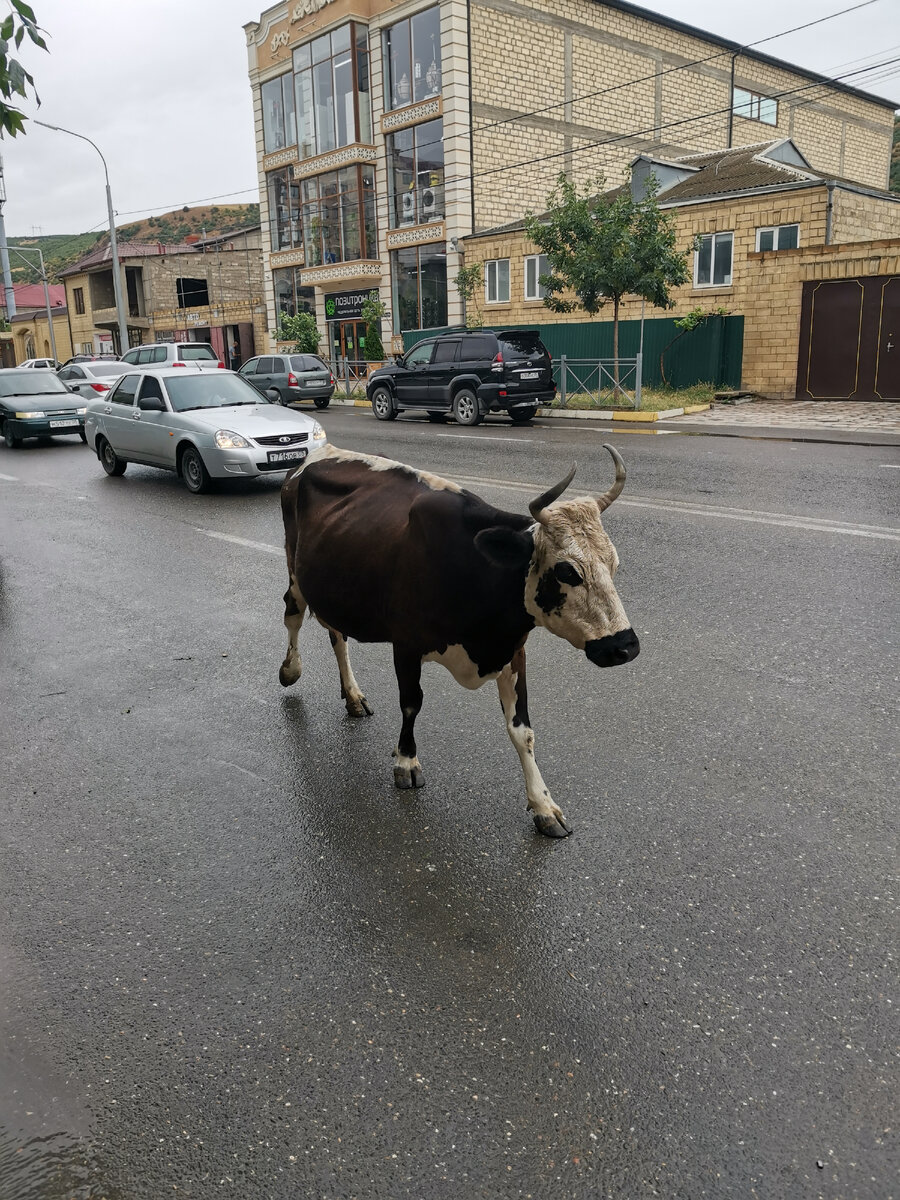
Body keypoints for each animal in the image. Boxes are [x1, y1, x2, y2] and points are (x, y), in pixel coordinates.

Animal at [282, 441, 643, 835]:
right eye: (568, 571)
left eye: (613, 565)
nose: (625, 646)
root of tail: (319, 452)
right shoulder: (405, 645)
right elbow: (411, 703)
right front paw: (406, 761)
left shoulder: (513, 652)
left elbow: (523, 730)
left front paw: (544, 805)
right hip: (296, 575)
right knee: (293, 616)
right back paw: (291, 669)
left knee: (337, 635)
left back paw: (353, 696)